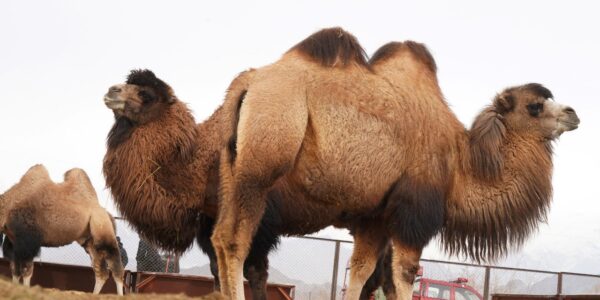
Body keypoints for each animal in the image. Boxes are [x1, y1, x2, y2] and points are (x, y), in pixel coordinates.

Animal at [0, 165, 125, 294]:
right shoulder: (14, 242)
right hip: (90, 241)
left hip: (103, 228)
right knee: (101, 271)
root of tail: (108, 215)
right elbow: (15, 271)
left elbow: (26, 271)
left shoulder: (28, 241)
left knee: (116, 267)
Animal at [209, 27, 580, 298]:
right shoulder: (413, 212)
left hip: (231, 169)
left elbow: (362, 272)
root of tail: (248, 84)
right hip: (261, 166)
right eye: (534, 106)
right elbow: (403, 276)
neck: (460, 165)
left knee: (220, 237)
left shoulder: (375, 217)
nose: (573, 114)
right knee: (235, 241)